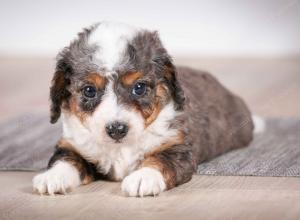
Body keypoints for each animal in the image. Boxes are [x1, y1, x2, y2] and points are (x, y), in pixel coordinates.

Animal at [32, 21, 262, 196]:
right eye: (89, 90)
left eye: (139, 88)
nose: (117, 129)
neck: (121, 147)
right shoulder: (73, 146)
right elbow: (66, 160)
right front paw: (52, 176)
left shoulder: (178, 148)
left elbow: (160, 160)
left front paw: (143, 177)